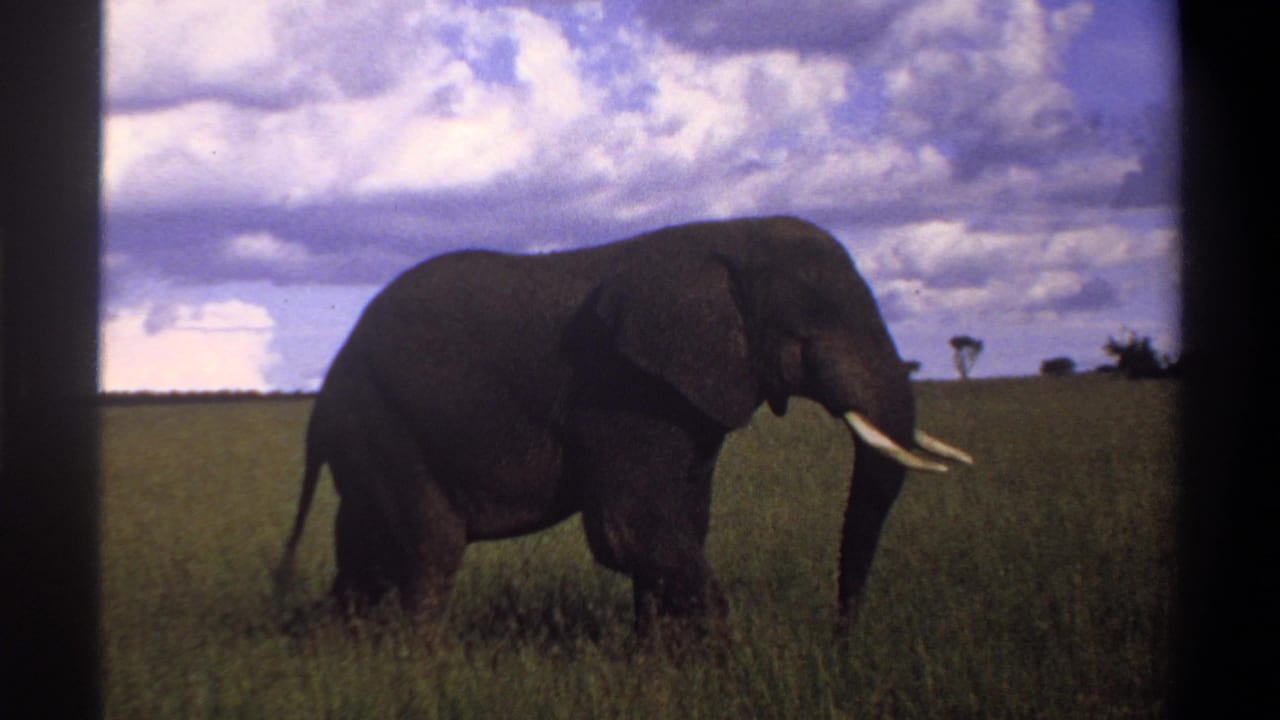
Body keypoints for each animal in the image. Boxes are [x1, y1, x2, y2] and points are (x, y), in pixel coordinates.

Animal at [274, 215, 972, 640]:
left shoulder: (684, 396)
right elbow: (631, 530)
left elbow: (680, 522)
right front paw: (727, 664)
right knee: (429, 549)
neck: (727, 240)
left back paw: (340, 651)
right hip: (386, 417)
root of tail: (328, 382)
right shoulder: (618, 385)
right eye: (810, 330)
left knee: (364, 551)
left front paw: (661, 665)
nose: (838, 639)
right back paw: (418, 664)